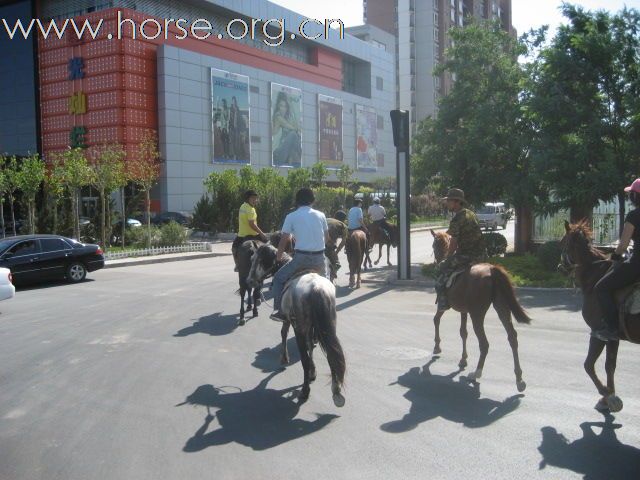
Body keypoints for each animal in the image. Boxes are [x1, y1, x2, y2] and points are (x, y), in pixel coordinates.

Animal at [246, 246, 348, 406]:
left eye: (259, 260)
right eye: (251, 259)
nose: (249, 281)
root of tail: (316, 287)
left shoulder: (289, 321)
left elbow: (284, 333)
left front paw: (284, 358)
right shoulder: (311, 327)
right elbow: (310, 346)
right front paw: (313, 372)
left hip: (299, 328)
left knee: (304, 359)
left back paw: (305, 391)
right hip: (329, 326)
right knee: (331, 352)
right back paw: (335, 390)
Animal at [430, 231, 536, 392]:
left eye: (434, 245)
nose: (437, 261)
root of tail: (492, 270)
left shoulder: (444, 306)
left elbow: (436, 320)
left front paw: (437, 347)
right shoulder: (464, 311)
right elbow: (463, 332)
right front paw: (463, 359)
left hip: (477, 314)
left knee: (484, 344)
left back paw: (476, 373)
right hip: (501, 307)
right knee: (512, 337)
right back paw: (519, 379)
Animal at [556, 221, 640, 412]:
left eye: (563, 242)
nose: (561, 268)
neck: (594, 273)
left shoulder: (599, 333)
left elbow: (589, 365)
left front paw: (608, 395)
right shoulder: (613, 338)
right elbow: (610, 365)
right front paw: (607, 397)